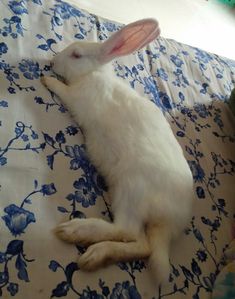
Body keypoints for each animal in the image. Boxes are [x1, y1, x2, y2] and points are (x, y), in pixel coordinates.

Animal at [41, 18, 193, 286]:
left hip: (130, 191)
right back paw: (97, 255)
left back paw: (76, 234)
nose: (52, 62)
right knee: (143, 246)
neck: (94, 75)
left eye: (77, 55)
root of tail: (170, 220)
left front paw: (48, 80)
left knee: (126, 230)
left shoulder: (75, 98)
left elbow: (62, 90)